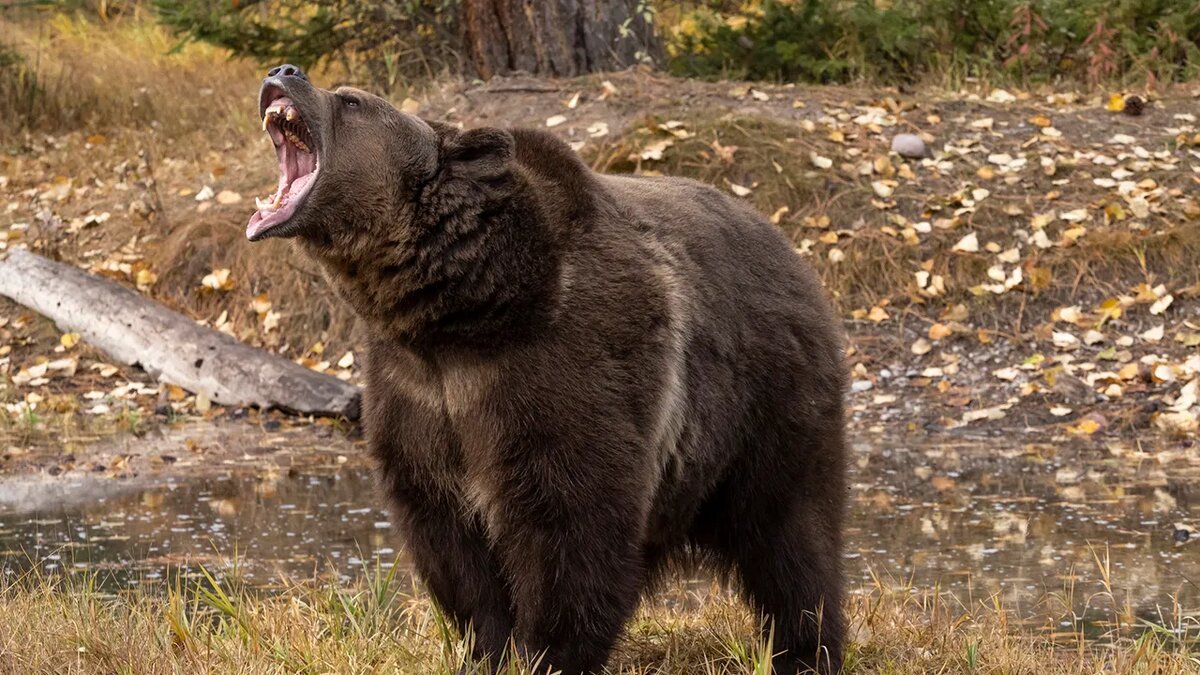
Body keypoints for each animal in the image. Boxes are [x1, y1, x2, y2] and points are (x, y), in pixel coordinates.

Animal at [246, 64, 848, 674]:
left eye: (351, 100)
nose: (284, 71)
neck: (459, 314)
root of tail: (790, 248)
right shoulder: (417, 395)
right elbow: (451, 544)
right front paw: (487, 647)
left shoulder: (561, 370)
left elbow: (570, 528)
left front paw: (548, 652)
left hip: (767, 402)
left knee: (791, 538)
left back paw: (805, 649)